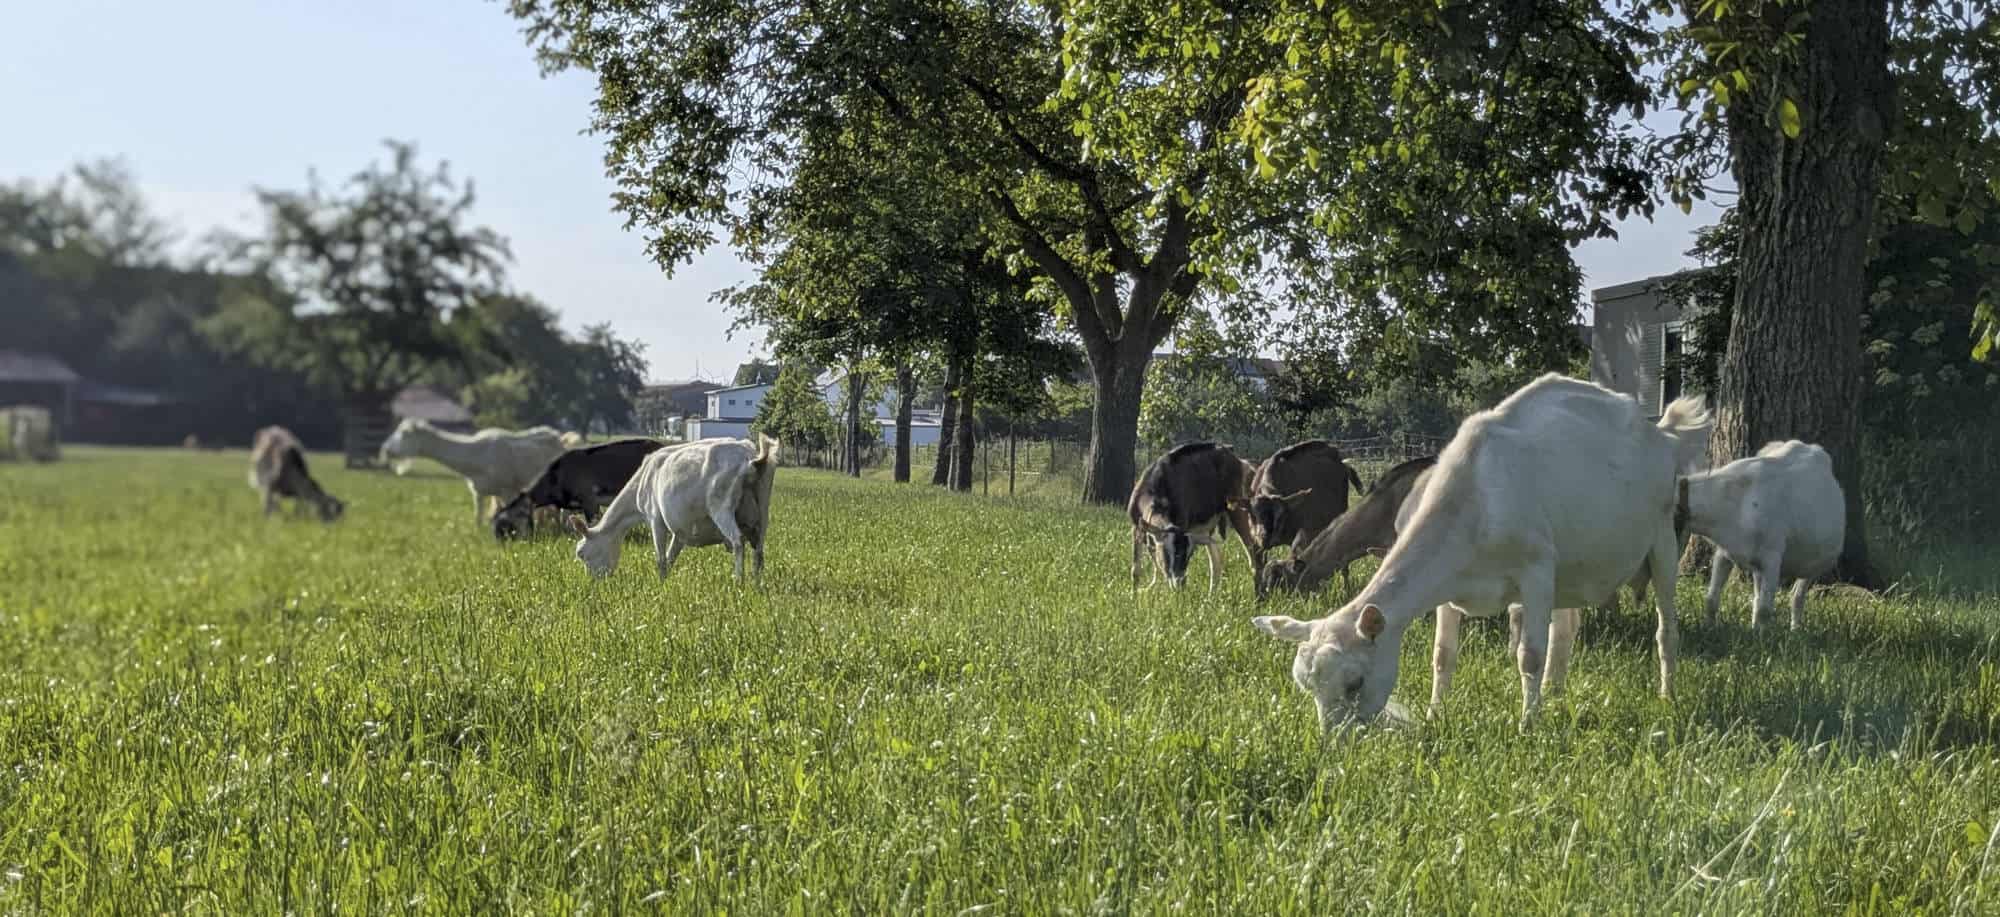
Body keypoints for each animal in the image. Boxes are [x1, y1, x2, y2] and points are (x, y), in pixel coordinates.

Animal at [378, 419, 567, 524]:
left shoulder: (508, 491)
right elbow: (478, 519)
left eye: (405, 433)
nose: (386, 450)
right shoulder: (479, 492)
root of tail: (559, 439)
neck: (476, 454)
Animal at [571, 435, 779, 582]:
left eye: (581, 554)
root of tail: (750, 458)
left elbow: (661, 557)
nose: (594, 583)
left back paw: (738, 580)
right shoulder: (680, 529)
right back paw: (756, 581)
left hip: (721, 508)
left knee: (738, 541)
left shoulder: (655, 518)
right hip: (764, 505)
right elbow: (671, 556)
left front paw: (661, 583)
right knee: (759, 547)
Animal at [1128, 442, 1258, 591]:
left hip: (1238, 510)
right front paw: (1134, 594)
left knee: (1252, 552)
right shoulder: (1136, 528)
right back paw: (1211, 594)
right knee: (1216, 561)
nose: (1178, 583)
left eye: (1188, 554)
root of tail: (1239, 460)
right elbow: (1136, 571)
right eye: (1170, 552)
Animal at [1252, 374, 1710, 728]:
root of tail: (1662, 434)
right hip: (1572, 566)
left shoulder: (1537, 572)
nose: (1334, 742)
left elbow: (1529, 655)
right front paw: (1436, 714)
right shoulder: (1448, 590)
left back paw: (1667, 696)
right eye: (1307, 686)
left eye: (1355, 682)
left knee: (1665, 627)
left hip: (1661, 540)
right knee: (1566, 628)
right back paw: (1555, 692)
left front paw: (1528, 725)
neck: (1477, 499)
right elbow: (1442, 655)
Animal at [1684, 440, 1845, 630]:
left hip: (1813, 562)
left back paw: (1795, 629)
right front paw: (1709, 628)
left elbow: (1765, 609)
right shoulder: (1724, 552)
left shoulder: (1772, 558)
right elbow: (1711, 600)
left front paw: (1763, 637)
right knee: (1759, 595)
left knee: (1797, 596)